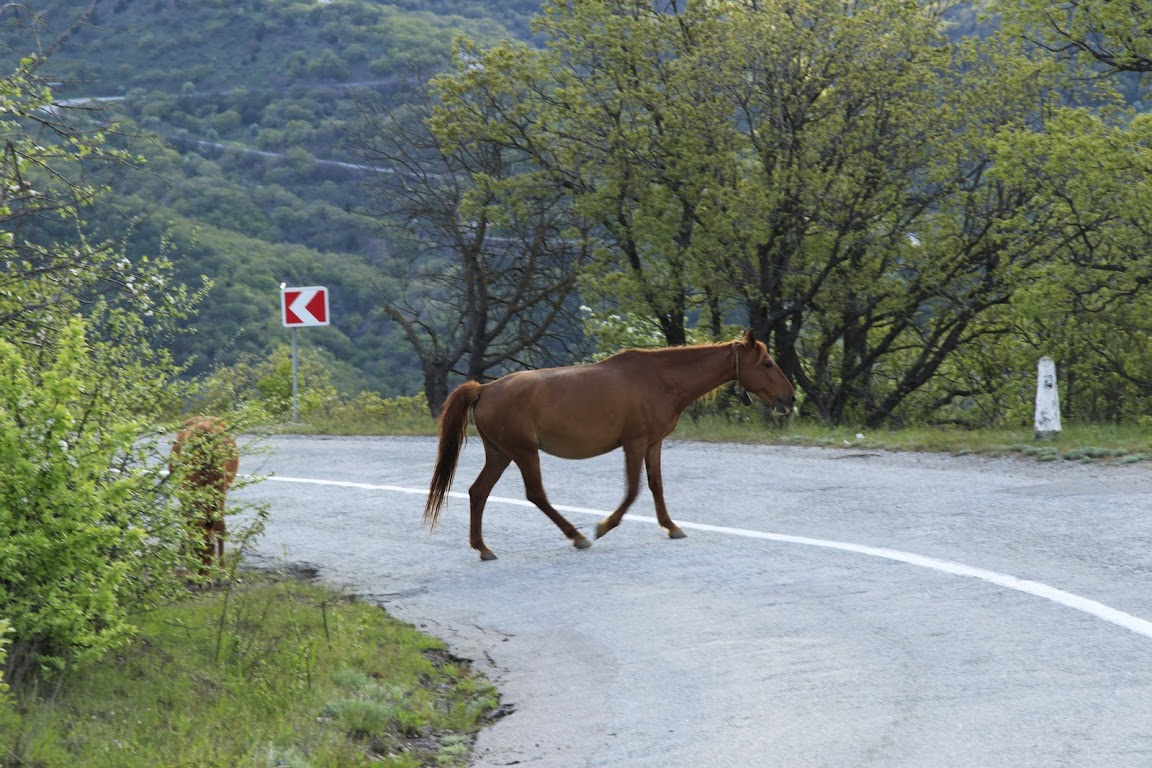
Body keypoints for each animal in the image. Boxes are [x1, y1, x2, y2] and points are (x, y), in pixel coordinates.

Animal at [169, 414, 239, 575]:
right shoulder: (187, 491)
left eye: (212, 548)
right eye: (195, 549)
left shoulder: (221, 492)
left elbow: (221, 526)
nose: (203, 577)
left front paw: (222, 570)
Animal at [428, 329, 797, 559]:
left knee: (478, 492)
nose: (790, 397)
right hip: (523, 452)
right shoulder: (634, 443)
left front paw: (671, 526)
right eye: (767, 363)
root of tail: (485, 389)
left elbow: (656, 485)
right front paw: (604, 526)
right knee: (535, 494)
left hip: (500, 454)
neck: (659, 379)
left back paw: (483, 547)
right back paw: (577, 536)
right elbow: (633, 490)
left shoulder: (652, 444)